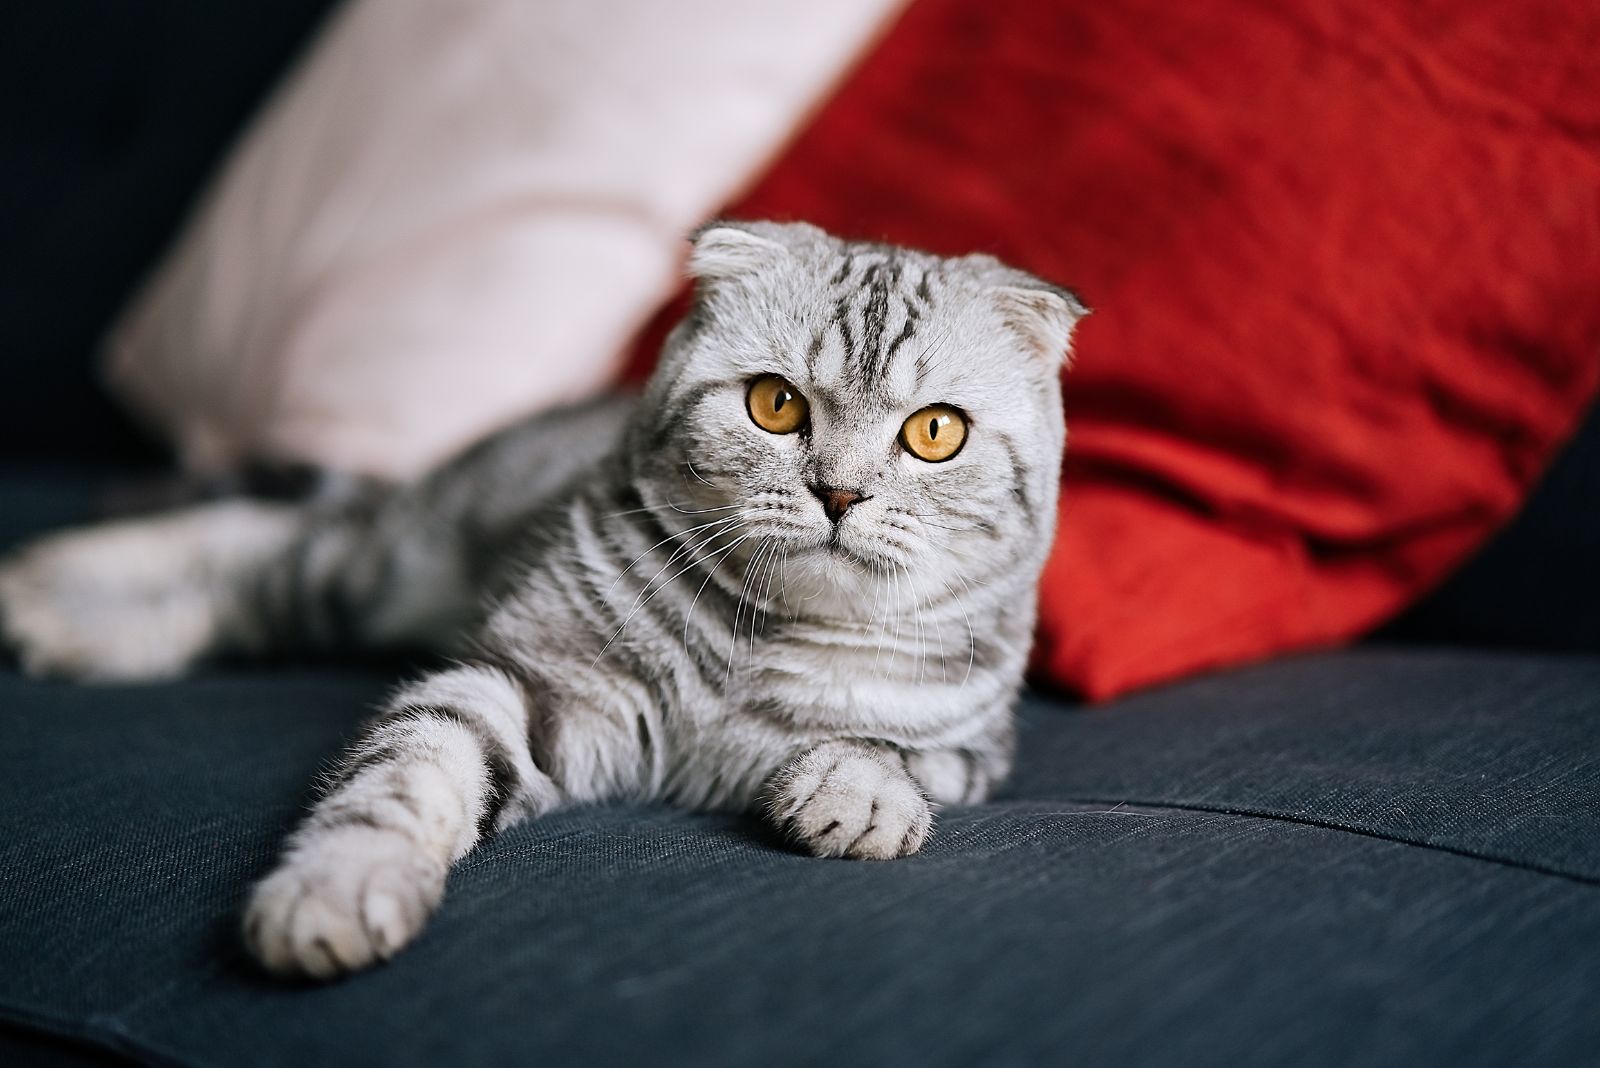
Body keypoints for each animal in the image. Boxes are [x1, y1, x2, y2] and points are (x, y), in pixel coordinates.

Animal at [0, 220, 1088, 978]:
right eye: (775, 405)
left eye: (935, 432)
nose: (839, 493)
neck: (761, 642)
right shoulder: (525, 683)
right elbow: (403, 781)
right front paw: (337, 889)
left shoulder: (975, 749)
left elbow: (888, 748)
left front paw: (854, 793)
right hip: (383, 569)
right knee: (251, 547)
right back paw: (52, 595)